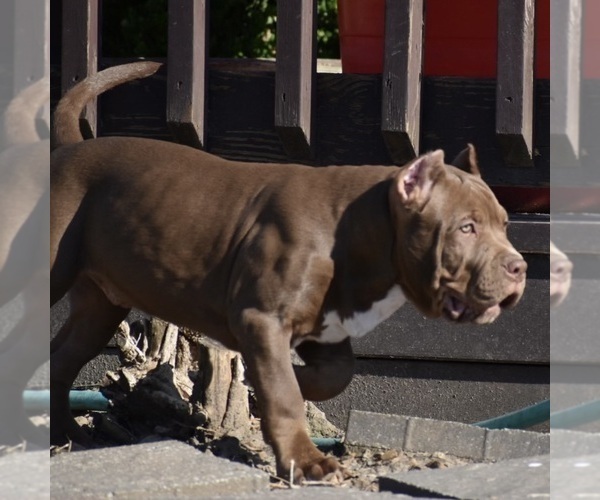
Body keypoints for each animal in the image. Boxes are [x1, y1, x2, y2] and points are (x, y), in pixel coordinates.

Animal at [52, 61, 528, 480]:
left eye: (505, 224)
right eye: (466, 228)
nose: (519, 266)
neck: (357, 228)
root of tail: (72, 146)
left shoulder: (327, 329)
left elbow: (334, 376)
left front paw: (284, 384)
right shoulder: (262, 319)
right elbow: (283, 395)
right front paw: (306, 460)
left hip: (99, 306)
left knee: (63, 357)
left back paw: (66, 435)